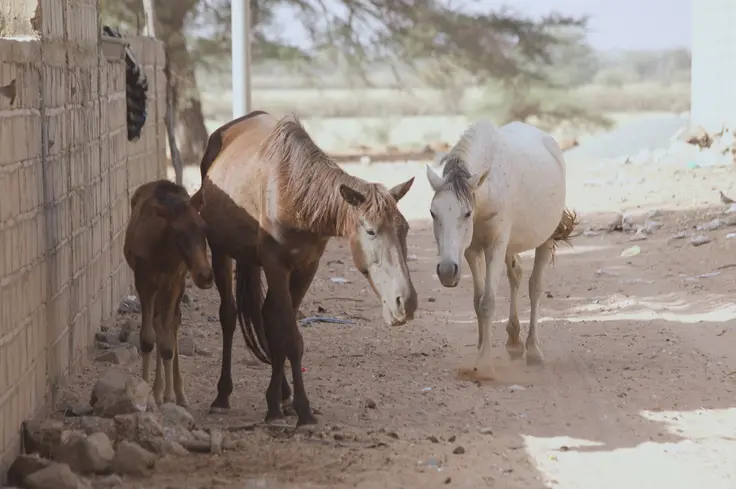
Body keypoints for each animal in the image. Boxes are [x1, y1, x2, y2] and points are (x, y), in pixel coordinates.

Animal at [123, 179, 214, 406]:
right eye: (178, 232)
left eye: (205, 228)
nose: (205, 276)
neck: (162, 253)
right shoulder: (143, 280)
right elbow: (148, 339)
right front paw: (147, 392)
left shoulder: (174, 281)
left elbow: (167, 343)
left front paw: (171, 394)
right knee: (159, 323)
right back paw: (157, 391)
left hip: (175, 285)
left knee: (173, 323)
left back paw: (176, 392)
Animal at [191, 111, 418, 426]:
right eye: (371, 231)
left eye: (405, 228)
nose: (405, 302)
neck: (298, 196)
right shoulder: (276, 266)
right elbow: (291, 337)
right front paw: (303, 410)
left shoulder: (306, 268)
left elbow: (282, 332)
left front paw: (278, 403)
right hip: (221, 251)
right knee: (229, 315)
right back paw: (222, 396)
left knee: (266, 317)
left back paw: (280, 395)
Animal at [425, 120, 578, 380]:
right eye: (433, 213)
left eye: (466, 213)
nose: (446, 271)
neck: (489, 188)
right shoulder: (471, 250)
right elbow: (477, 301)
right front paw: (480, 347)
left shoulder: (495, 245)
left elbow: (488, 302)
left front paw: (484, 365)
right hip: (509, 247)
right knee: (515, 275)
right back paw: (514, 342)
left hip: (544, 239)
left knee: (535, 287)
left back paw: (533, 350)